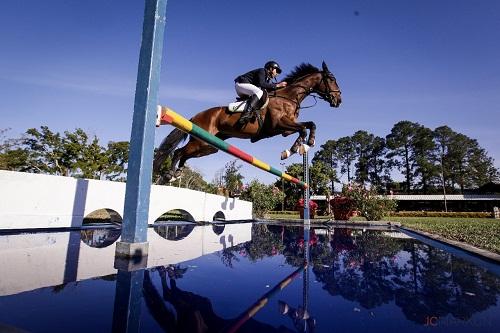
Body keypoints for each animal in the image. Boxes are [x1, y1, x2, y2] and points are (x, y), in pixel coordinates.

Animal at [153, 61, 340, 183]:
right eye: (331, 79)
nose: (338, 100)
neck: (289, 97)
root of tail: (194, 117)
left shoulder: (285, 129)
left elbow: (309, 125)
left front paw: (305, 145)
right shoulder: (278, 125)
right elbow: (303, 129)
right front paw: (293, 150)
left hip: (209, 145)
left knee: (185, 154)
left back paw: (176, 173)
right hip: (201, 141)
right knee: (179, 152)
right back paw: (169, 174)